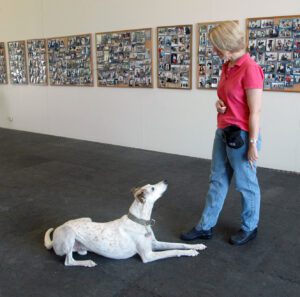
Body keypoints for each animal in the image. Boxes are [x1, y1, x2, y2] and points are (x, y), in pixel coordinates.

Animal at [44, 180, 206, 266]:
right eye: (153, 187)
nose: (166, 180)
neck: (140, 221)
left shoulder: (155, 244)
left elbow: (179, 244)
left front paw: (196, 246)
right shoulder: (148, 255)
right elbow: (173, 251)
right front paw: (190, 253)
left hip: (87, 219)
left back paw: (83, 251)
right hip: (69, 233)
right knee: (68, 261)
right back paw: (87, 262)